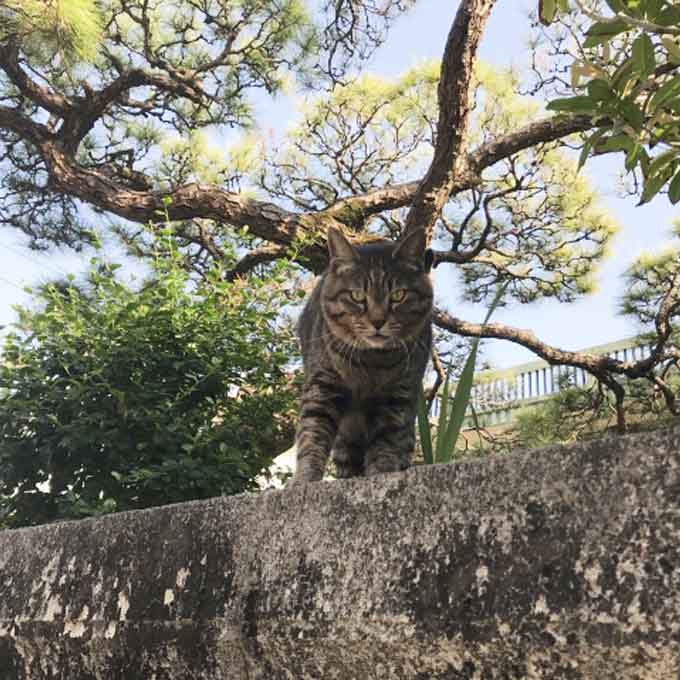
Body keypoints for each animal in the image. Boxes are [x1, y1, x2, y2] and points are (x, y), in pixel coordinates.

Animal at [290, 228, 430, 484]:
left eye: (398, 295)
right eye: (356, 295)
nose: (377, 321)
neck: (371, 361)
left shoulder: (398, 396)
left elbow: (387, 441)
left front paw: (382, 473)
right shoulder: (322, 387)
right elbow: (312, 434)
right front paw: (304, 480)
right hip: (346, 434)